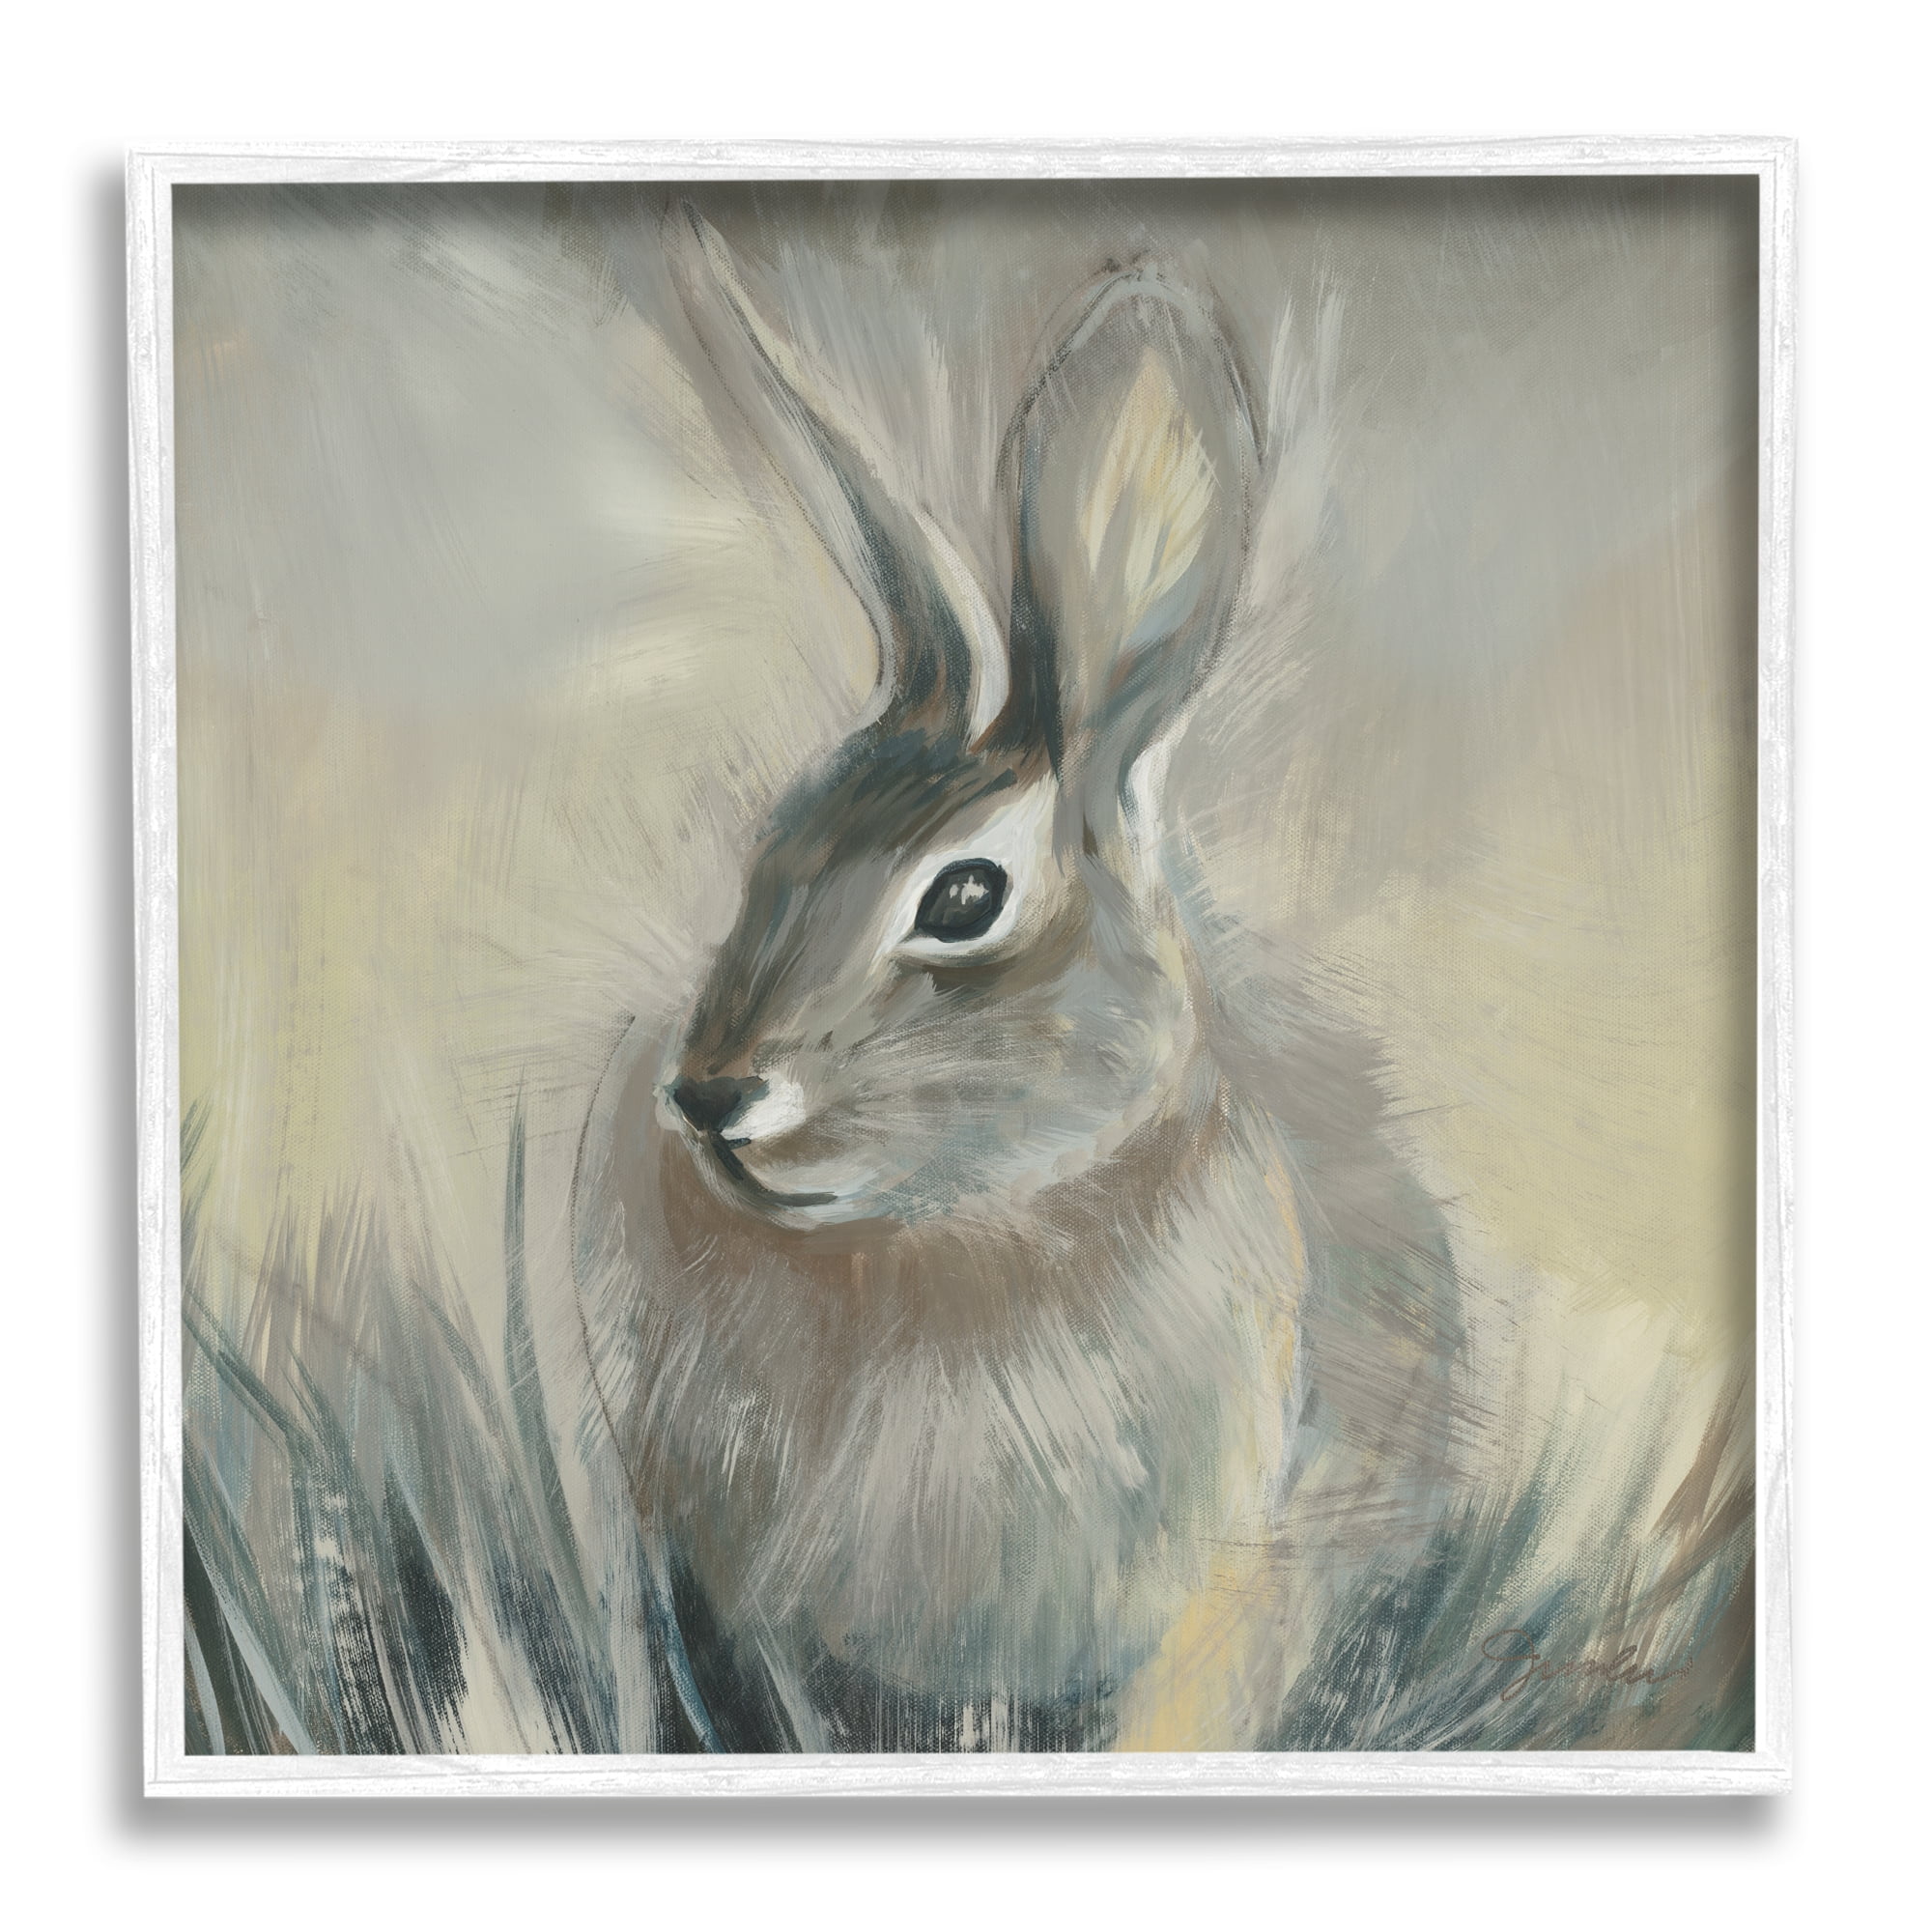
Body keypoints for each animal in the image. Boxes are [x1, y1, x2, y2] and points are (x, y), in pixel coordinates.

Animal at [570, 206, 1465, 1753]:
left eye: (964, 899)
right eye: (773, 846)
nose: (714, 1095)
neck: (952, 1232)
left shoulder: (1225, 1581)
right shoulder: (725, 1601)